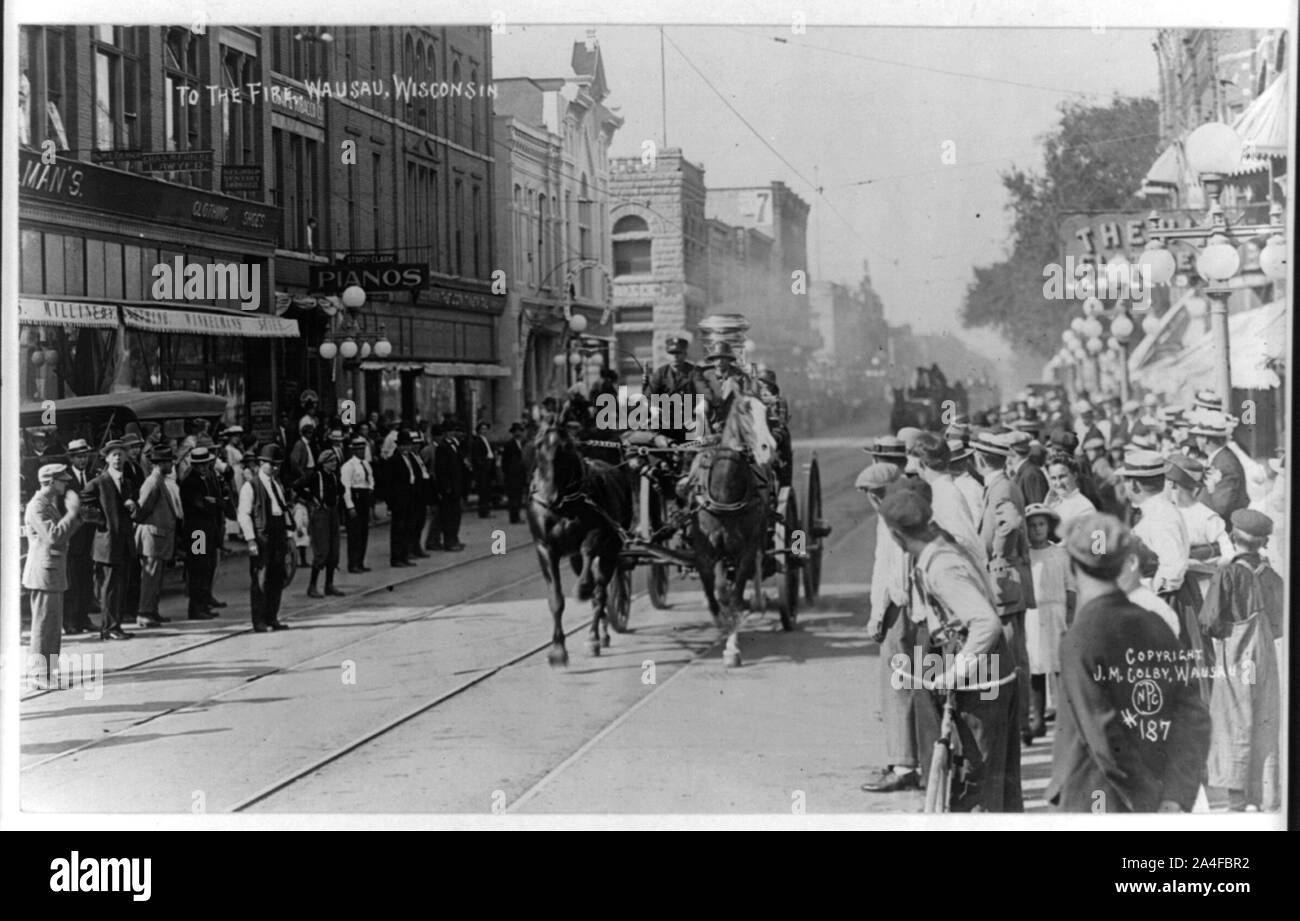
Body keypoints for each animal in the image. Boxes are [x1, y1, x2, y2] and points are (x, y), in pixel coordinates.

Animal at [525, 421, 631, 666]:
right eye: (537, 444)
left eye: (566, 447)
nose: (550, 496)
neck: (563, 506)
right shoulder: (545, 547)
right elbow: (556, 600)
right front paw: (557, 650)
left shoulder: (599, 534)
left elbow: (588, 550)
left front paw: (582, 589)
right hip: (575, 558)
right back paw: (602, 634)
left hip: (612, 549)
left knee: (601, 592)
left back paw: (594, 637)